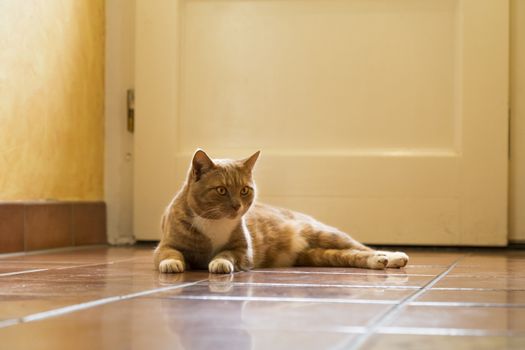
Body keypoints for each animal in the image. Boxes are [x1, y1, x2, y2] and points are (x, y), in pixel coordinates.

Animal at [154, 150, 408, 274]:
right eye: (222, 190)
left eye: (244, 190)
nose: (237, 206)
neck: (214, 223)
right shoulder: (166, 244)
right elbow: (169, 253)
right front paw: (171, 263)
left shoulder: (243, 251)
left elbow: (227, 254)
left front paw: (220, 262)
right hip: (320, 254)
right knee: (353, 255)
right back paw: (381, 261)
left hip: (324, 233)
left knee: (363, 248)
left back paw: (393, 256)